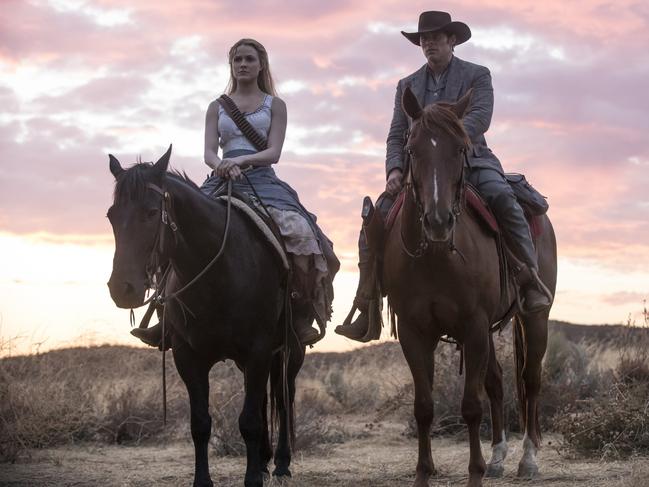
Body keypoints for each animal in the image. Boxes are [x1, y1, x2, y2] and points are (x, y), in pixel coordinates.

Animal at [107, 148, 306, 487]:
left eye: (151, 212)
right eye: (111, 215)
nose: (122, 289)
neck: (219, 273)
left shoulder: (258, 349)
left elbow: (250, 420)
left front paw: (252, 479)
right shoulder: (188, 355)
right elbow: (200, 423)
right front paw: (206, 479)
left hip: (290, 350)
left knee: (283, 396)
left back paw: (280, 463)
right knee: (266, 400)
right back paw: (264, 461)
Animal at [384, 87, 556, 487]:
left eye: (460, 148)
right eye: (412, 148)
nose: (438, 221)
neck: (435, 257)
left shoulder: (474, 326)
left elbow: (471, 406)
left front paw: (475, 473)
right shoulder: (415, 332)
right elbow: (424, 407)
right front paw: (423, 473)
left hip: (533, 318)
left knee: (531, 379)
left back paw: (528, 459)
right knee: (497, 381)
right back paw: (497, 457)